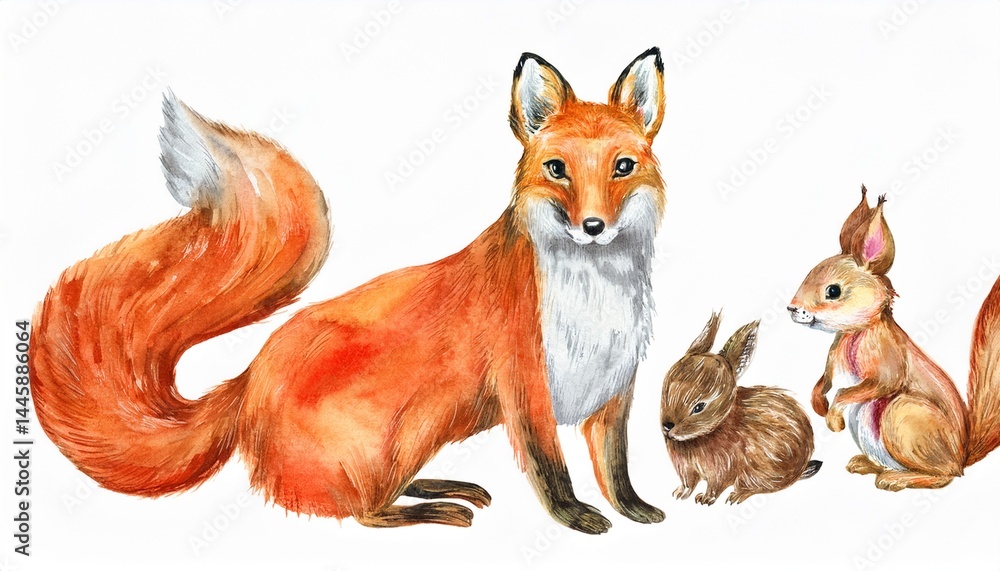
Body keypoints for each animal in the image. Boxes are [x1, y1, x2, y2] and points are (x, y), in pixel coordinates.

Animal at [29, 48, 668, 534]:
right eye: (558, 169)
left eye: (623, 166)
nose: (593, 227)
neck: (594, 297)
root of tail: (246, 382)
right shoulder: (525, 385)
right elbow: (550, 470)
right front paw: (576, 518)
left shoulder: (616, 388)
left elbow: (616, 468)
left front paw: (636, 509)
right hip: (413, 424)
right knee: (365, 512)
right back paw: (435, 509)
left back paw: (441, 486)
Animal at [660, 313, 822, 505]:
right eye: (665, 390)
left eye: (699, 407)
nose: (667, 426)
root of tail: (800, 469)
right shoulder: (687, 470)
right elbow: (688, 483)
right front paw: (680, 494)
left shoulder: (722, 469)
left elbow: (715, 486)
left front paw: (705, 499)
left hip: (758, 474)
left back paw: (736, 496)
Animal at [787, 187, 1000, 490]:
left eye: (833, 291)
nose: (792, 309)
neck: (855, 333)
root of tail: (963, 456)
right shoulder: (831, 364)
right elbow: (823, 382)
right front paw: (819, 405)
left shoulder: (888, 362)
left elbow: (857, 388)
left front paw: (833, 420)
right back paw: (867, 466)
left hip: (901, 415)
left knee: (945, 476)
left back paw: (896, 480)